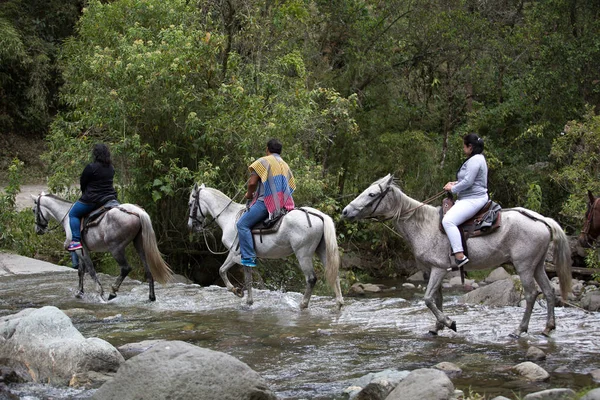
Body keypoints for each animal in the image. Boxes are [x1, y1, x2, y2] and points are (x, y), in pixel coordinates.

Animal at [32, 193, 172, 300]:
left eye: (34, 210)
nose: (38, 230)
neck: (67, 218)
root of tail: (136, 211)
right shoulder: (82, 251)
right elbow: (81, 271)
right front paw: (79, 292)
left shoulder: (81, 252)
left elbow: (91, 270)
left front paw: (100, 292)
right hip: (139, 246)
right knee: (148, 270)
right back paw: (151, 296)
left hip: (116, 249)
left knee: (125, 268)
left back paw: (113, 292)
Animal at [188, 184, 344, 310]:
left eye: (190, 204)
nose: (191, 226)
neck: (229, 218)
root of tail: (320, 216)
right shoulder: (243, 257)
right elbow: (244, 278)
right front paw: (246, 300)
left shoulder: (235, 254)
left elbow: (224, 271)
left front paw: (238, 292)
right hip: (322, 251)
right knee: (334, 275)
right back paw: (339, 304)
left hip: (303, 254)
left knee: (311, 279)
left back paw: (303, 305)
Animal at [342, 175, 572, 338]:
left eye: (372, 194)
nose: (345, 212)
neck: (423, 225)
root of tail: (541, 220)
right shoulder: (432, 270)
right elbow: (437, 299)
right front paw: (437, 327)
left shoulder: (438, 269)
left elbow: (427, 299)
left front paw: (449, 323)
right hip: (537, 265)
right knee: (549, 292)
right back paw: (547, 328)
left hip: (524, 266)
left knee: (532, 294)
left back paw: (519, 330)